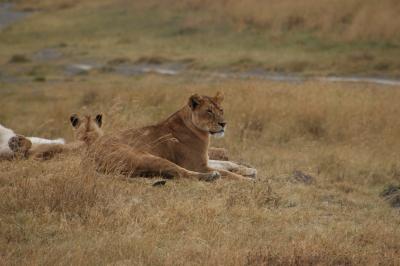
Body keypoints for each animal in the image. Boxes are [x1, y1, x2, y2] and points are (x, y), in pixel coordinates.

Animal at [87, 91, 256, 181]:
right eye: (209, 111)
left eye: (221, 110)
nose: (223, 124)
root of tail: (91, 156)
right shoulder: (197, 165)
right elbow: (226, 172)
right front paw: (247, 179)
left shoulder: (206, 160)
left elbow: (227, 163)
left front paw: (249, 170)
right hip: (145, 156)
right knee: (181, 172)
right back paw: (211, 177)